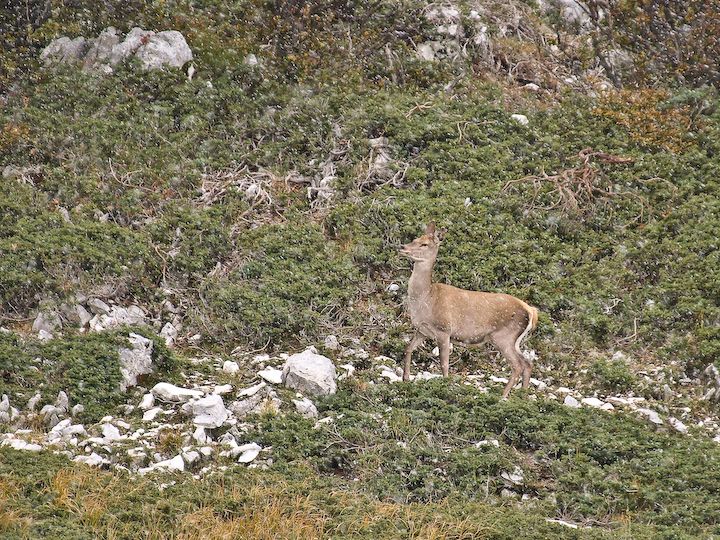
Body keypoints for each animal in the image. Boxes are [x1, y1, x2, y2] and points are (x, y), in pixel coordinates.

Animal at [400, 221, 540, 398]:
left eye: (424, 244)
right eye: (415, 239)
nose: (402, 247)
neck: (426, 299)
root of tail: (530, 311)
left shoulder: (444, 329)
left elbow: (444, 364)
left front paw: (445, 387)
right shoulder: (422, 330)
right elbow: (408, 348)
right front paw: (405, 378)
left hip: (504, 336)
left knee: (518, 365)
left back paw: (503, 396)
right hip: (514, 340)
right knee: (527, 363)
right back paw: (522, 396)